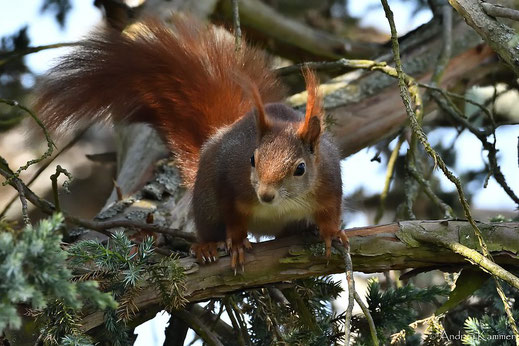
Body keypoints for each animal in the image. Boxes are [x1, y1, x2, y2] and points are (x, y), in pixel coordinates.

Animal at [34, 16, 348, 270]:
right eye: (252, 159)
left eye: (300, 169)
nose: (266, 195)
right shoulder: (230, 184)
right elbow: (233, 217)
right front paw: (236, 242)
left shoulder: (329, 184)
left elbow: (330, 213)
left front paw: (332, 233)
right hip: (206, 200)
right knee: (209, 226)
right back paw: (207, 247)